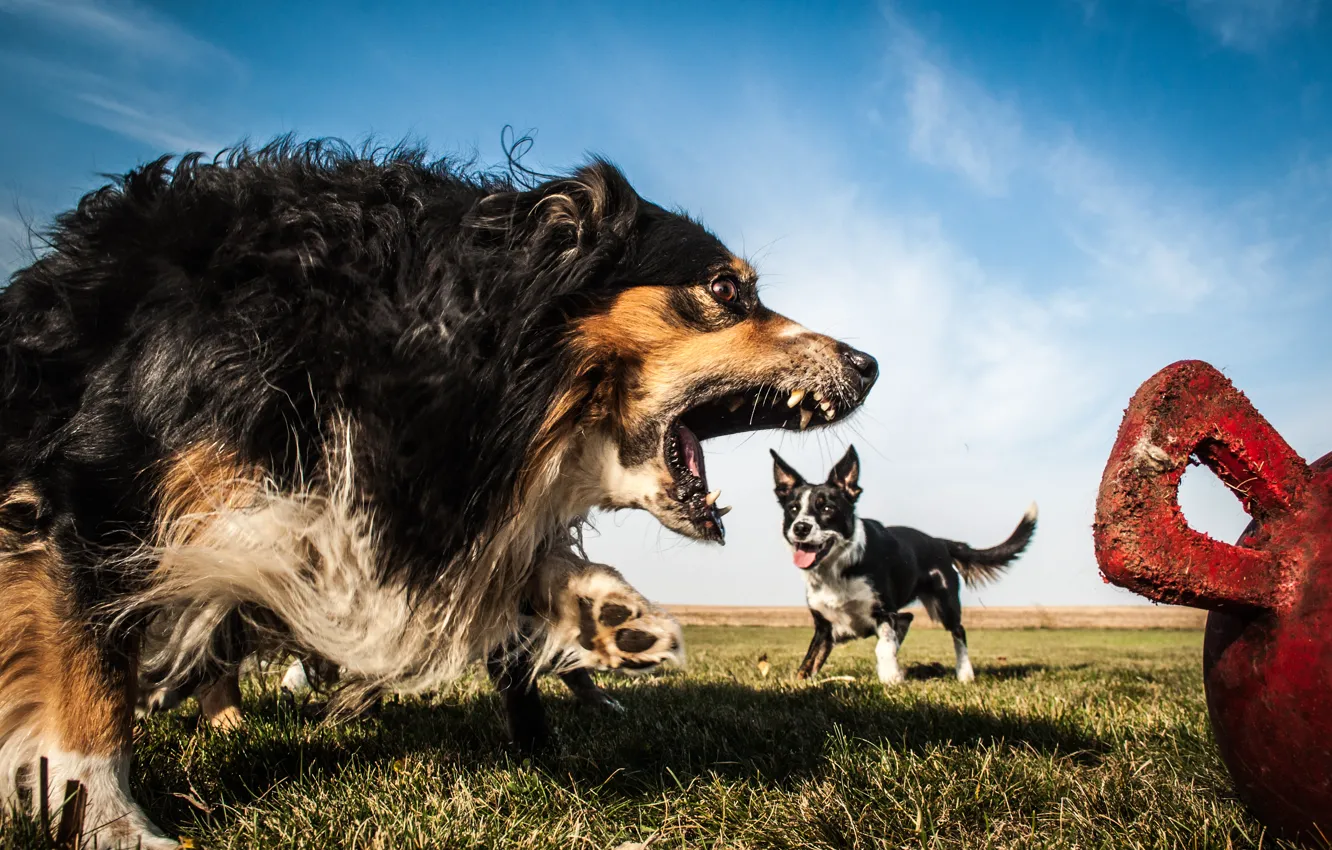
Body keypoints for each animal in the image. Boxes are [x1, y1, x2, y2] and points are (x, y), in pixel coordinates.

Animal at [0, 138, 873, 847]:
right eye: (726, 290)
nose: (869, 365)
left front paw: (604, 614)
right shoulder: (92, 495)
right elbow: (89, 682)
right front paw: (106, 820)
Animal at [777, 450, 1033, 687]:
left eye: (827, 509)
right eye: (793, 509)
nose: (800, 527)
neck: (838, 569)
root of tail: (939, 542)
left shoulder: (884, 612)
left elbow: (883, 646)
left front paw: (890, 677)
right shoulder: (824, 627)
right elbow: (809, 661)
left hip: (945, 603)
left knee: (958, 631)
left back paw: (964, 673)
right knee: (907, 618)